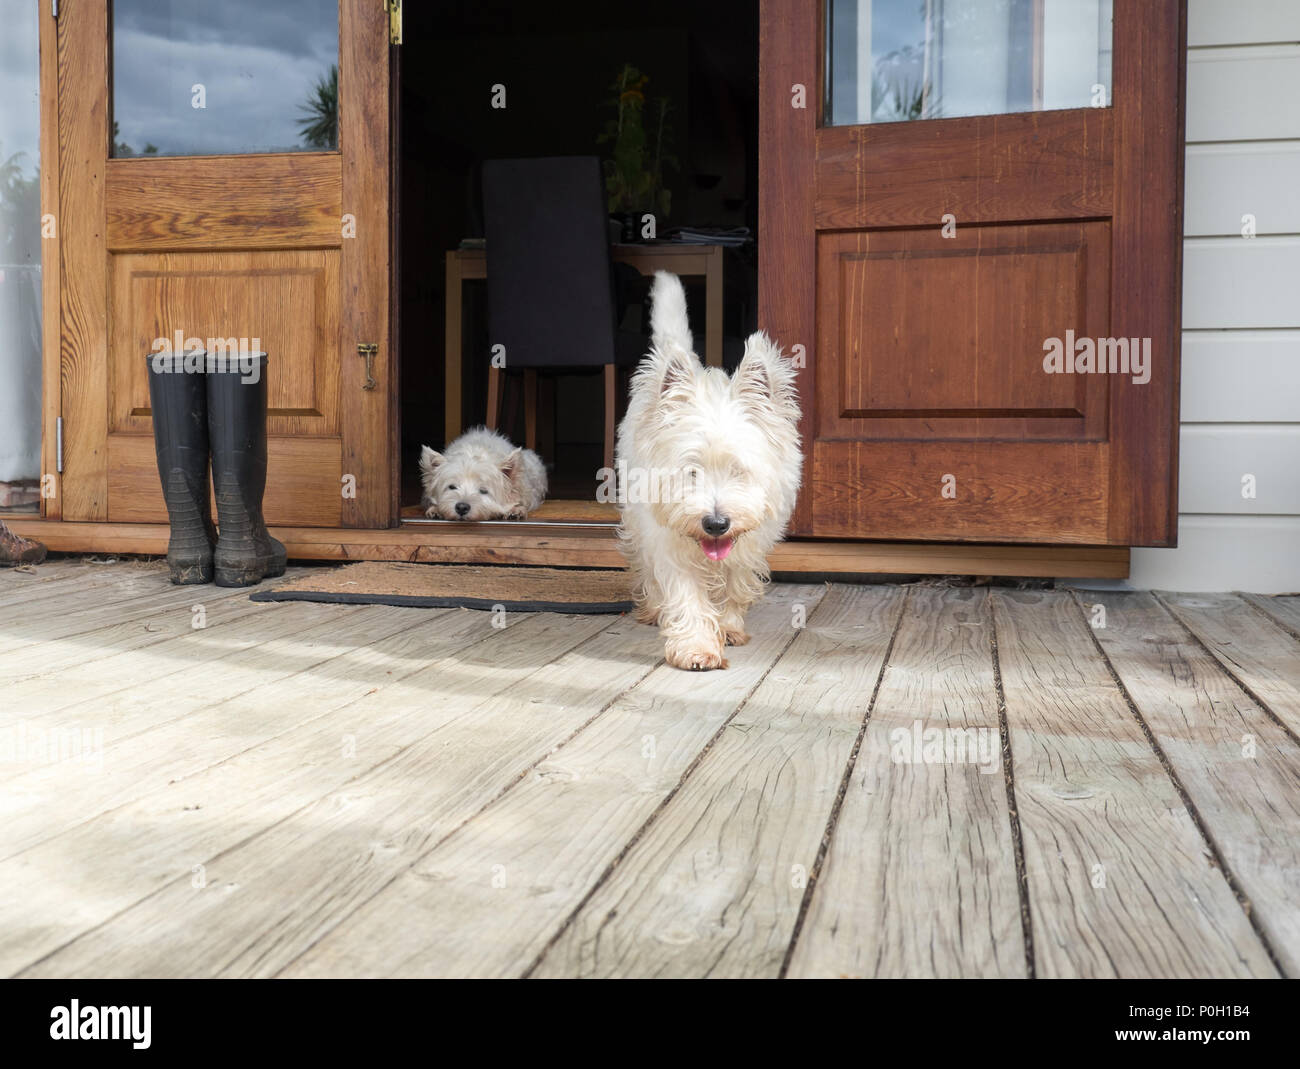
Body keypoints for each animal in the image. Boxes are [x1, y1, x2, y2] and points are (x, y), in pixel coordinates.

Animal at [613, 270, 795, 671]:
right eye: (690, 472)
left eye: (739, 471)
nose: (715, 523)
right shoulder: (668, 542)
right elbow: (686, 594)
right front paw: (696, 647)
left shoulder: (750, 543)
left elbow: (734, 581)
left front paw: (727, 628)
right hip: (636, 519)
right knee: (645, 565)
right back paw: (652, 608)